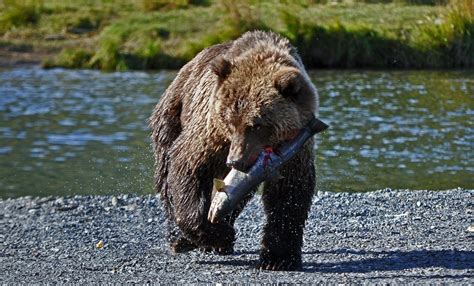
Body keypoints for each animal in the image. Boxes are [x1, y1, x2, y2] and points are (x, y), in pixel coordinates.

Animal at [148, 30, 318, 272]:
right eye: (230, 120)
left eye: (257, 124)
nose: (235, 161)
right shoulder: (210, 131)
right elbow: (187, 165)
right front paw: (217, 233)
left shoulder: (295, 150)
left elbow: (289, 193)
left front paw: (279, 258)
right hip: (172, 113)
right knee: (165, 174)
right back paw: (180, 239)